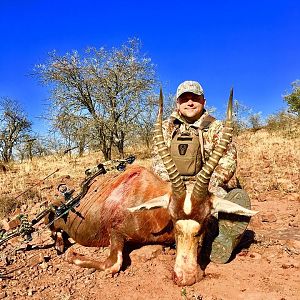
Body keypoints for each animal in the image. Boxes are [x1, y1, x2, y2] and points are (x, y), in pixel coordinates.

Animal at [46, 89, 255, 286]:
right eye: (173, 217)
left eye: (206, 220)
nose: (185, 277)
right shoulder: (115, 233)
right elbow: (113, 264)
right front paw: (71, 254)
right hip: (56, 219)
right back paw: (60, 245)